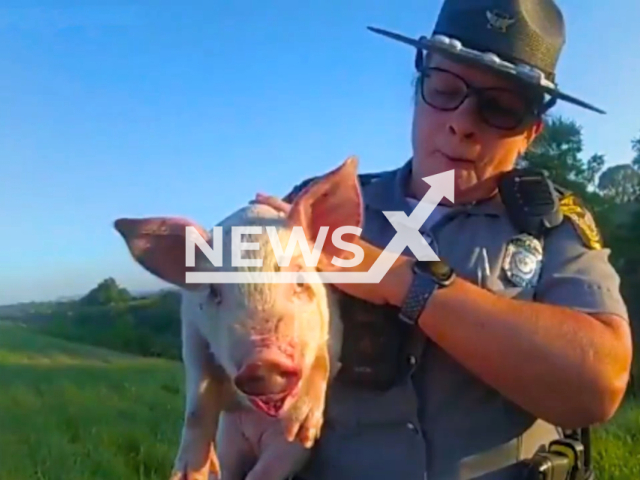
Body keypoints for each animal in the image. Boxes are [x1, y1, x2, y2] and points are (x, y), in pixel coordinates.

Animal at [114, 158, 364, 480]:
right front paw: (186, 475)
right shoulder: (191, 326)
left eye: (300, 280)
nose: (264, 363)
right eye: (214, 291)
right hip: (231, 438)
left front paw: (302, 427)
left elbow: (323, 361)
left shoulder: (334, 322)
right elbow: (198, 400)